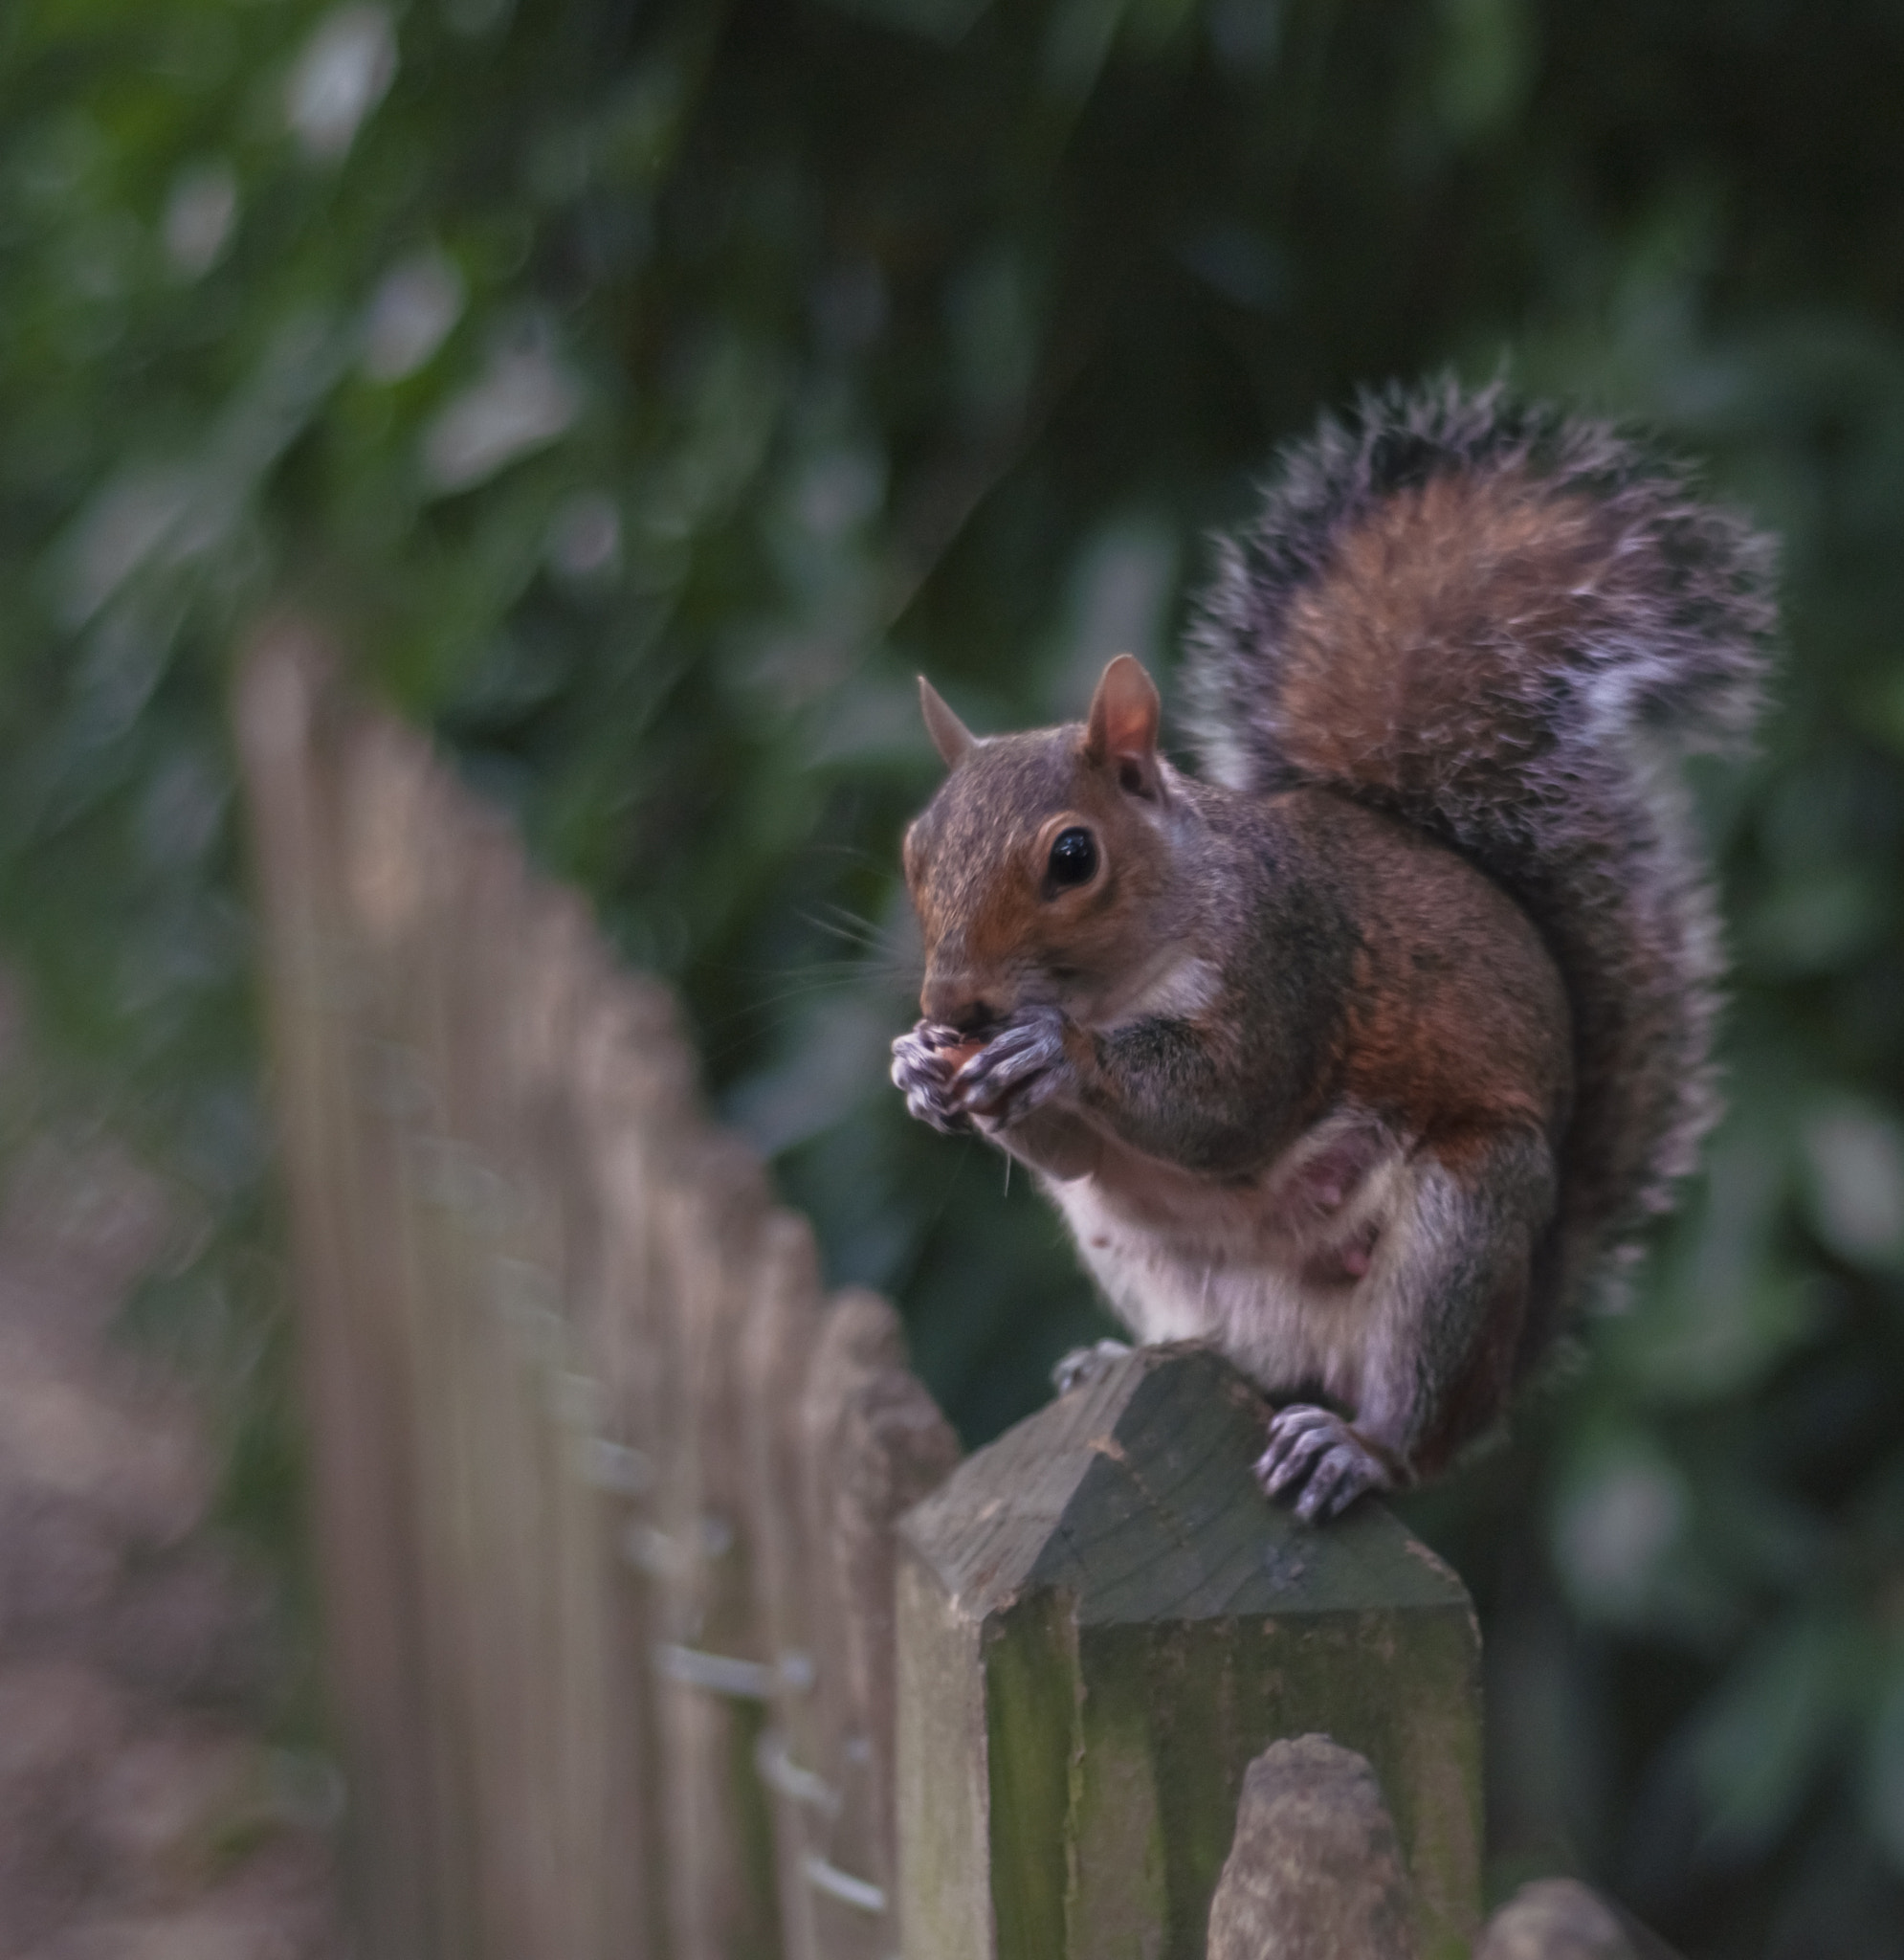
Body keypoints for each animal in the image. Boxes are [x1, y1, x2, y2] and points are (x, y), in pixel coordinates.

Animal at [889, 378, 1770, 1513]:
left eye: (1073, 856)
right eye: (914, 848)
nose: (950, 1008)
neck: (1117, 981)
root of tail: (1509, 1366)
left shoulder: (1286, 962)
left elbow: (1228, 1105)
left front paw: (1054, 1053)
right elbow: (1078, 1152)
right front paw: (919, 1068)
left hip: (1457, 1234)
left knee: (1410, 1417)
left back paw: (1356, 1448)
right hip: (1149, 1264)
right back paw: (1122, 1359)